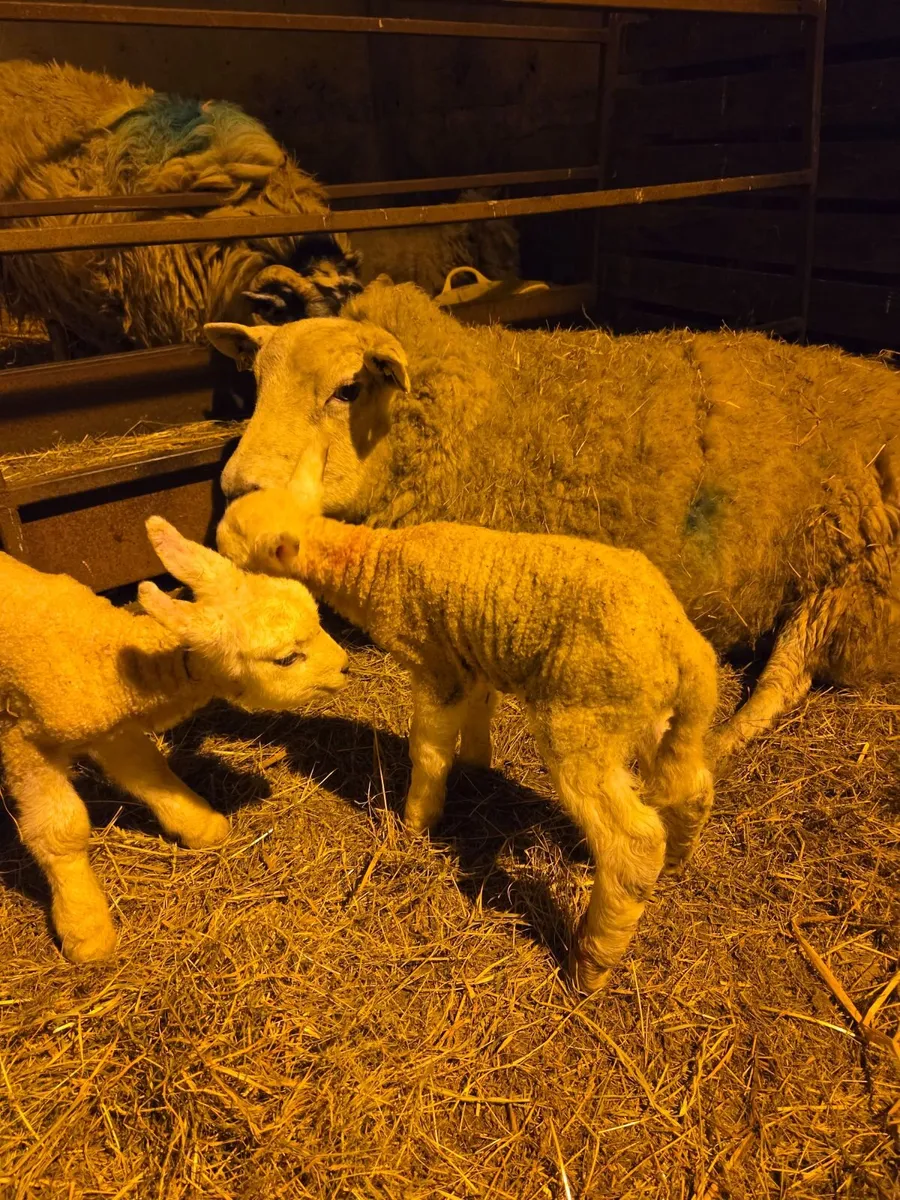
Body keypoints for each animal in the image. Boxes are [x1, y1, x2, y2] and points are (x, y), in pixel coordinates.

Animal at [0, 516, 348, 963]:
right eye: (286, 658)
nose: (344, 666)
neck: (103, 652)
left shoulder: (111, 729)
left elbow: (150, 771)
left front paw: (201, 825)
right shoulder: (25, 741)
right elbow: (61, 830)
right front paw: (85, 927)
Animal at [205, 279, 900, 762]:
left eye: (347, 389)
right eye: (255, 384)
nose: (237, 487)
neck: (480, 415)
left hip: (855, 571)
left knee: (788, 674)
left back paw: (722, 738)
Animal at [217, 486, 719, 992]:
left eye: (235, 548)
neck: (373, 563)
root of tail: (687, 648)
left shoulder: (436, 665)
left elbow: (428, 752)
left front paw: (416, 822)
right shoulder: (469, 657)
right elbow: (480, 713)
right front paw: (478, 766)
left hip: (582, 720)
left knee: (633, 844)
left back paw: (589, 964)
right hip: (648, 716)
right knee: (694, 783)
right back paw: (677, 859)